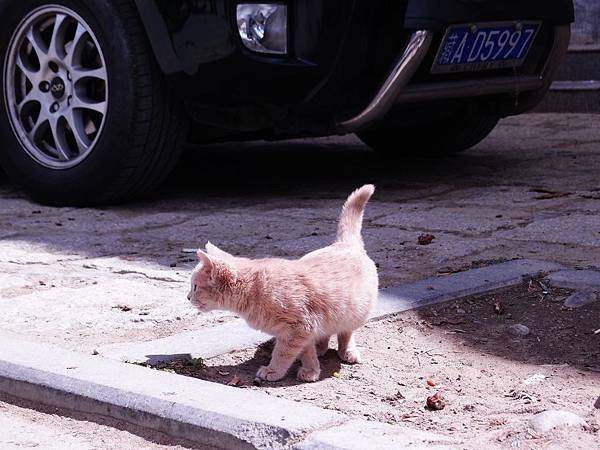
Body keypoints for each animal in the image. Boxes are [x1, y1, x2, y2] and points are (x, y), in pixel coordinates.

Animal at [188, 185, 378, 382]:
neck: (255, 289)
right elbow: (306, 351)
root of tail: (345, 244)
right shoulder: (302, 332)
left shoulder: (298, 329)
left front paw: (274, 370)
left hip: (354, 314)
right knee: (326, 334)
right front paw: (311, 368)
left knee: (346, 333)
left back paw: (347, 351)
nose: (187, 297)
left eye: (195, 286)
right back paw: (321, 348)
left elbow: (282, 353)